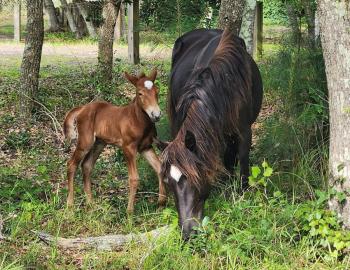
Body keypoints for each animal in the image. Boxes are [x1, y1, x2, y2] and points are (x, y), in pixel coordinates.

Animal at [63, 70, 167, 213]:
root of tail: (82, 108)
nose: (156, 115)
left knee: (86, 165)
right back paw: (70, 205)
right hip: (86, 141)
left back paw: (91, 204)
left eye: (157, 91)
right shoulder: (128, 148)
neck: (138, 120)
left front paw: (161, 203)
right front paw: (129, 213)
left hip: (100, 143)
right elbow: (134, 178)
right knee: (71, 164)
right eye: (140, 93)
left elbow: (160, 168)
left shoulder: (145, 147)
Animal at [160, 28, 262, 237]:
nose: (188, 232)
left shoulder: (244, 132)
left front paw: (242, 193)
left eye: (196, 178)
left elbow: (242, 160)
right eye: (168, 182)